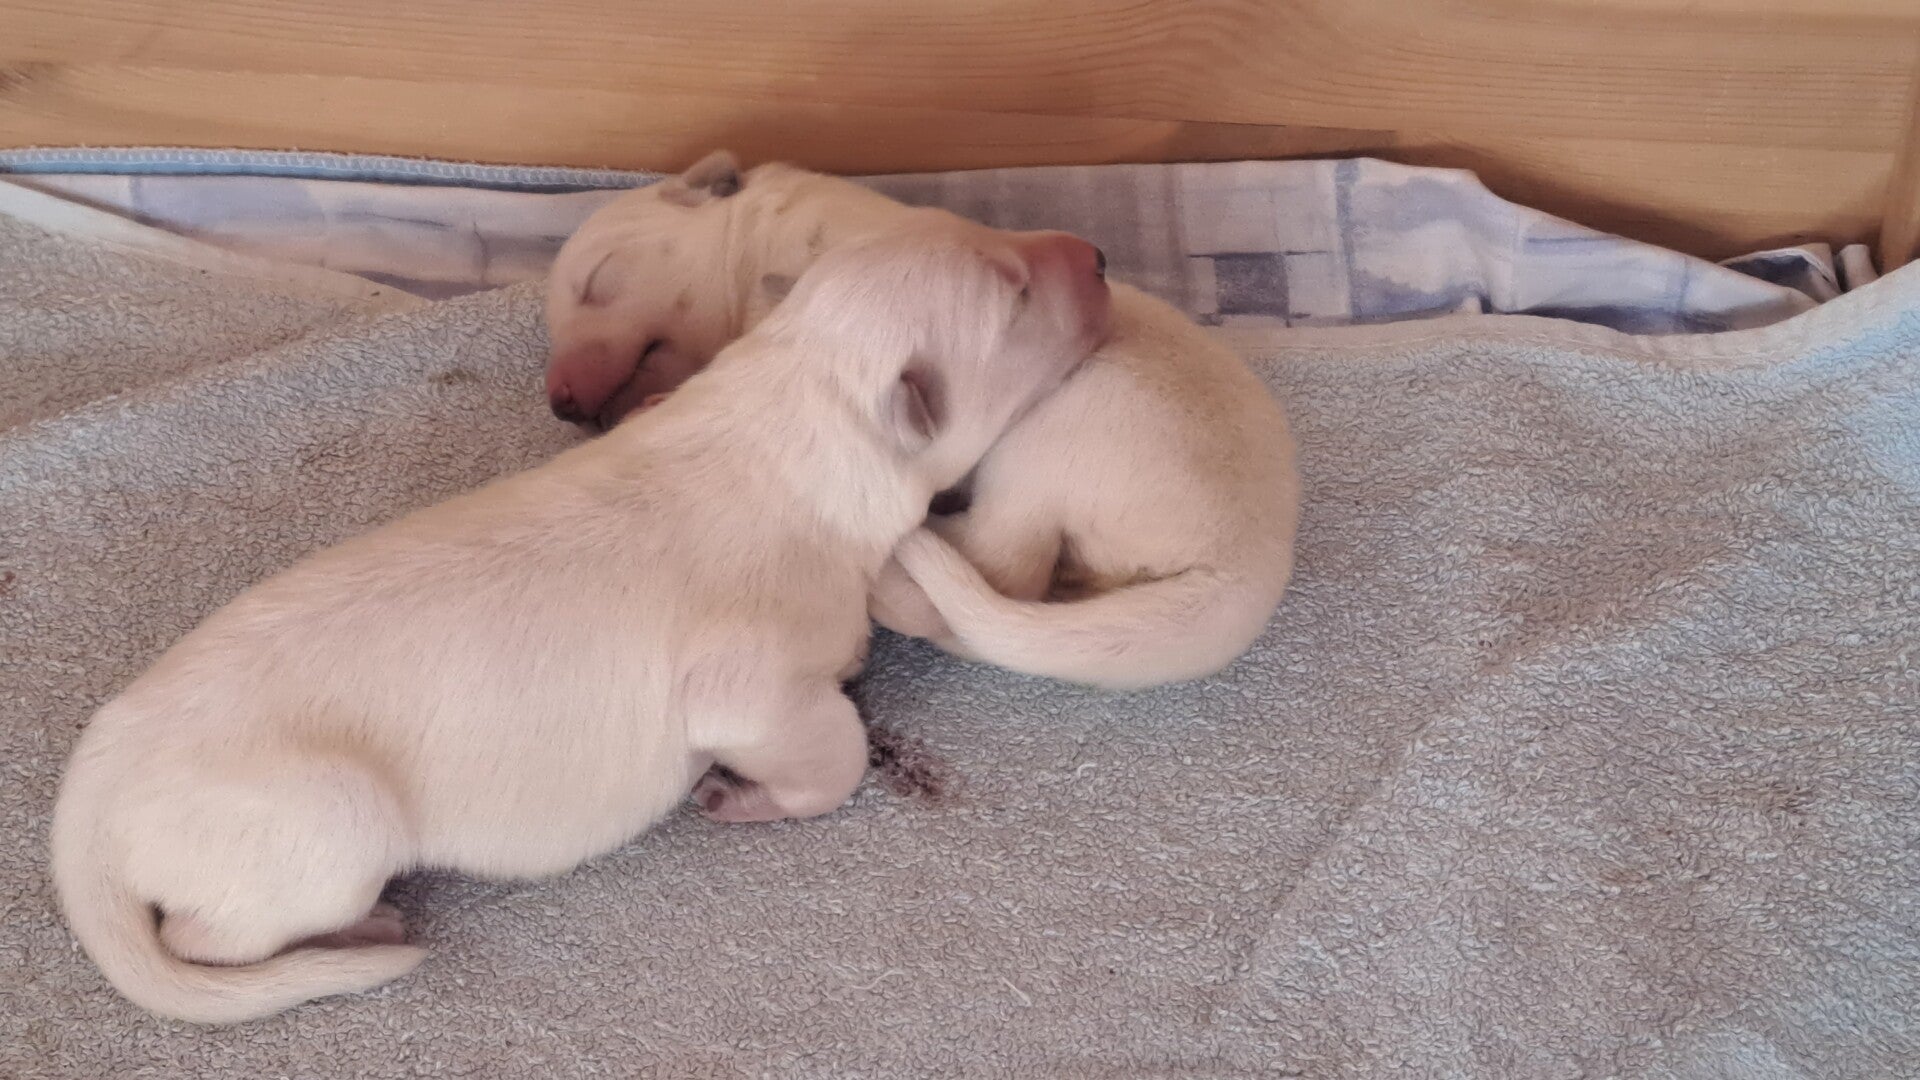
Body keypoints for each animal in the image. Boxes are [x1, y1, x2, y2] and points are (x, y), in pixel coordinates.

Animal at [51, 218, 1110, 1024]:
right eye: (1017, 294)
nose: (1099, 254)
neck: (790, 405)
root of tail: (86, 806)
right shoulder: (752, 685)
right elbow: (830, 752)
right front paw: (745, 796)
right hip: (320, 826)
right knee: (207, 937)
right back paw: (367, 927)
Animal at [545, 152, 1298, 690]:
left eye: (598, 280)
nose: (560, 402)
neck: (756, 235)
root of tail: (1243, 573)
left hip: (1063, 432)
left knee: (1007, 566)